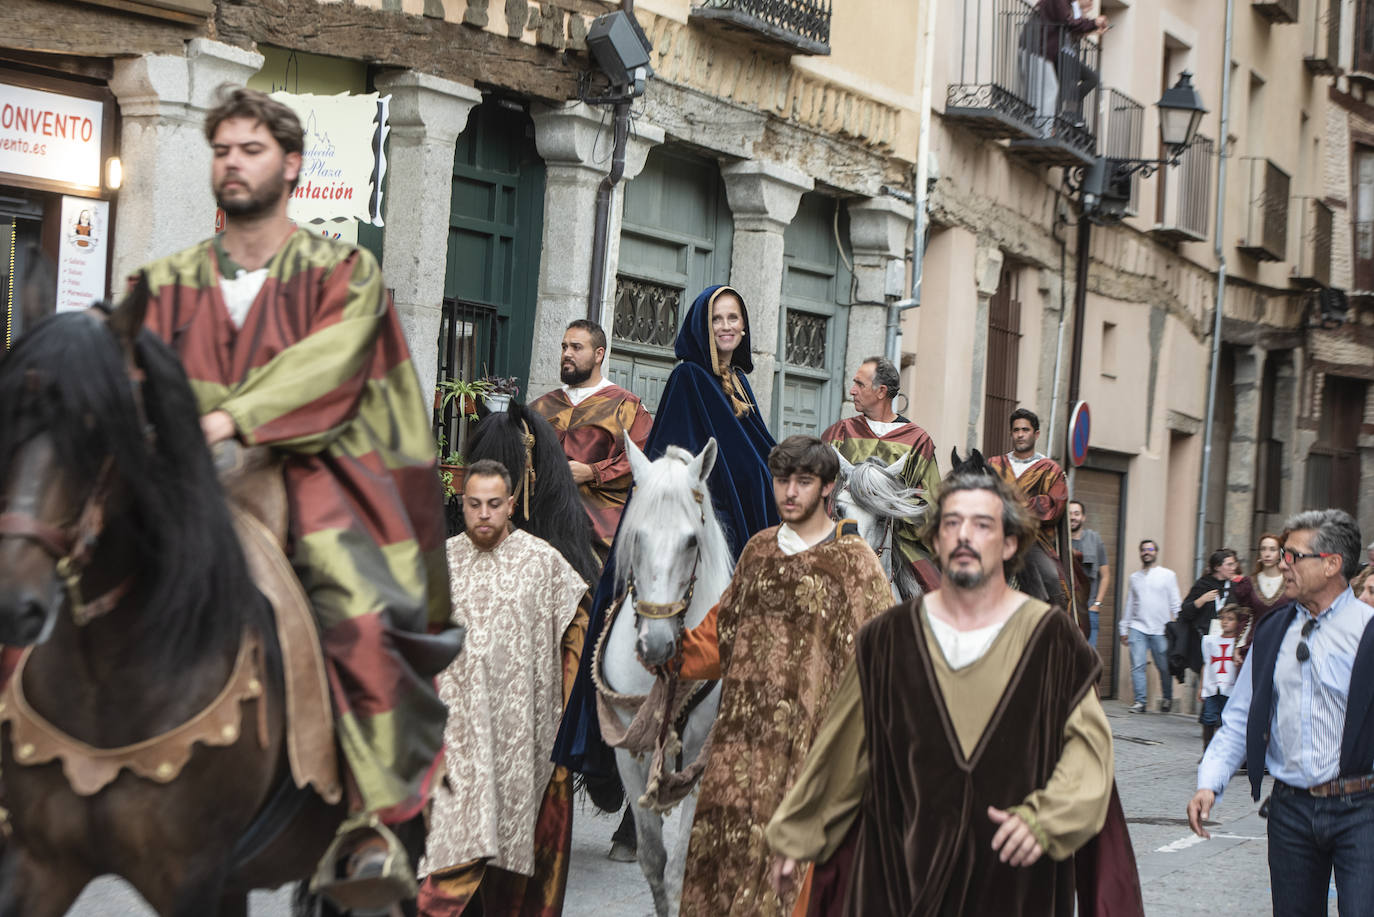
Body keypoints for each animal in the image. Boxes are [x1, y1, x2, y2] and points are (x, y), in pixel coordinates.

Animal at [0, 284, 357, 912]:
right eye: (12, 412)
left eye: (97, 424)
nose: (14, 605)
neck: (107, 684)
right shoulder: (39, 863)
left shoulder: (191, 878)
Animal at [599, 439, 736, 917]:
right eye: (636, 535)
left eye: (691, 541)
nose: (656, 645)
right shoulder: (627, 754)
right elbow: (654, 860)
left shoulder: (701, 758)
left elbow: (681, 869)